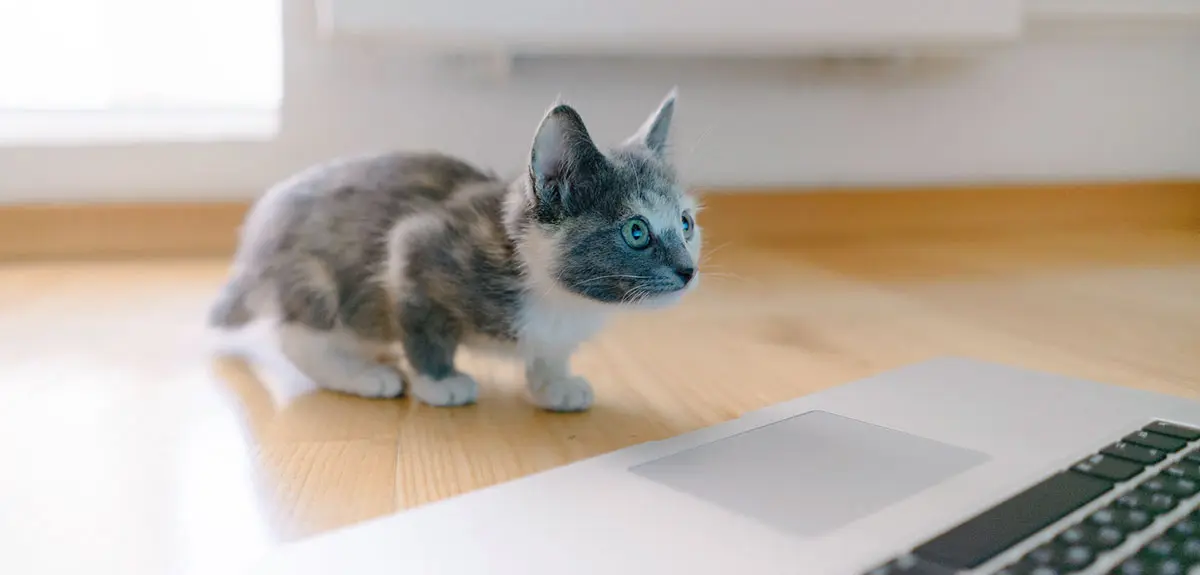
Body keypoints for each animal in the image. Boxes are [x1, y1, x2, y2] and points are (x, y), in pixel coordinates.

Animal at [205, 90, 700, 412]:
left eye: (685, 224)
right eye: (636, 231)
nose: (688, 270)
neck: (557, 296)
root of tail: (255, 239)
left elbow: (549, 350)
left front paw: (553, 383)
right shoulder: (417, 247)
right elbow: (425, 327)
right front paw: (439, 382)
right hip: (318, 277)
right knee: (297, 335)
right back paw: (363, 374)